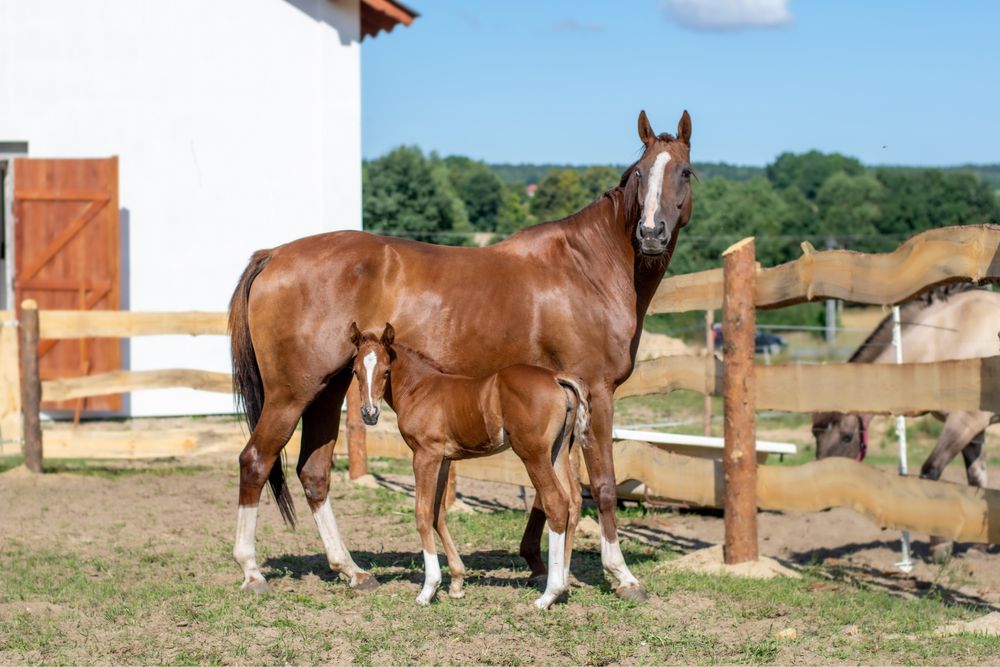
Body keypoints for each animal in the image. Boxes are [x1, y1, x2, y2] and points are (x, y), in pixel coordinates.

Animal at [350, 324, 584, 612]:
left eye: (385, 370)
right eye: (355, 371)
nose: (369, 413)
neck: (420, 388)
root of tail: (556, 378)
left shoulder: (425, 455)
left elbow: (423, 513)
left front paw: (429, 589)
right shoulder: (444, 459)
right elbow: (438, 513)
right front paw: (456, 582)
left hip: (534, 455)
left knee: (556, 502)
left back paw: (549, 594)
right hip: (558, 452)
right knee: (573, 501)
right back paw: (562, 584)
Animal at [812, 284, 1000, 560]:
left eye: (847, 437)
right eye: (815, 435)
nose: (822, 495)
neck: (947, 337)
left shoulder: (964, 423)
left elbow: (930, 473)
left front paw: (940, 547)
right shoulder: (974, 431)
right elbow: (977, 480)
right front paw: (978, 547)